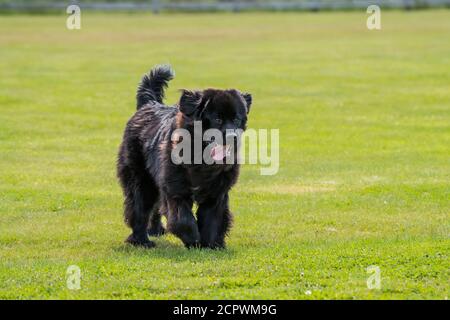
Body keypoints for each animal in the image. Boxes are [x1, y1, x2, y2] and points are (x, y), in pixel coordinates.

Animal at [116, 65, 251, 249]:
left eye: (236, 119)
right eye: (217, 119)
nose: (232, 136)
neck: (202, 160)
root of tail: (149, 104)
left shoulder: (217, 192)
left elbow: (213, 218)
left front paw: (211, 244)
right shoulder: (175, 189)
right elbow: (182, 219)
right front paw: (193, 239)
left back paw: (155, 230)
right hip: (140, 178)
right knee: (139, 206)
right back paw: (141, 240)